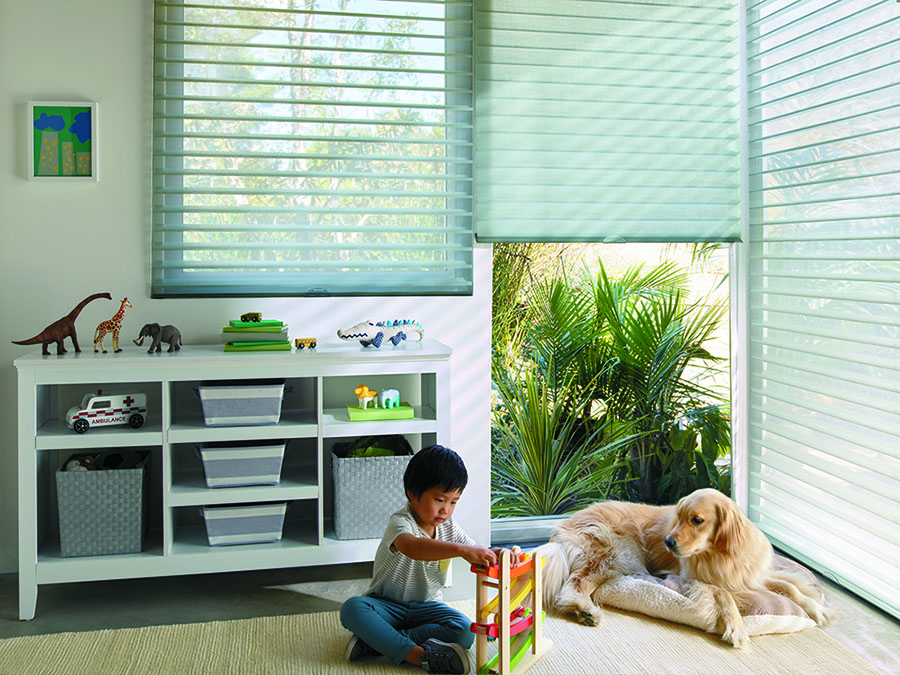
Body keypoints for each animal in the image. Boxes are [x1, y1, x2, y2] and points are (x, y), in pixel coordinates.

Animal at [536, 488, 836, 648]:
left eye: (696, 520)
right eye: (677, 517)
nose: (668, 542)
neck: (718, 554)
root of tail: (562, 527)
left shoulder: (750, 576)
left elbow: (788, 587)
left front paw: (817, 609)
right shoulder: (693, 579)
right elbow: (724, 595)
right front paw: (736, 628)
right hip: (620, 552)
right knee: (575, 582)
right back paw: (584, 609)